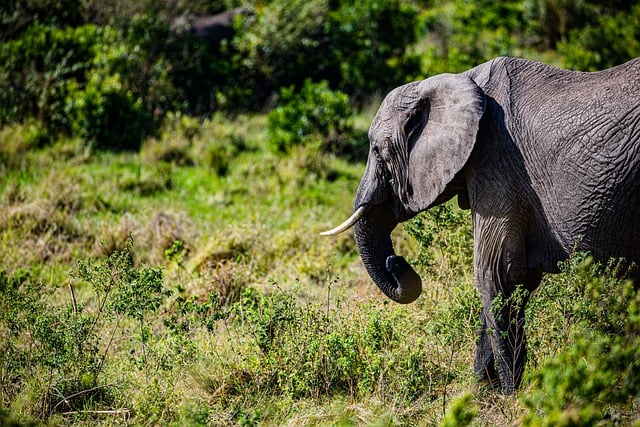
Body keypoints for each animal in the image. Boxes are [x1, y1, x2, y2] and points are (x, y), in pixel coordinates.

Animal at [322, 57, 640, 394]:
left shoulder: (496, 162)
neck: (460, 80)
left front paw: (509, 397)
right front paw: (481, 395)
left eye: (376, 150)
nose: (396, 262)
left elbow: (496, 274)